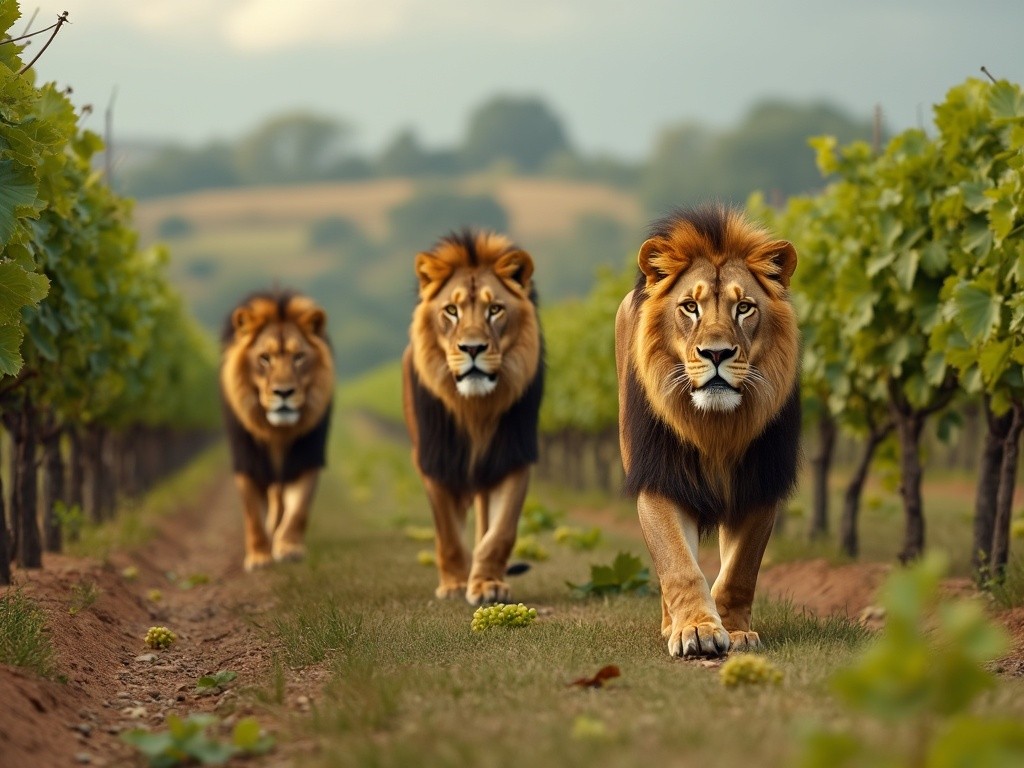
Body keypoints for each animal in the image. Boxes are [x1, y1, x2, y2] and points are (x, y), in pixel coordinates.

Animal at [218, 290, 333, 573]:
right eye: (264, 358)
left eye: (299, 356)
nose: (284, 392)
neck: (277, 433)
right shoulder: (248, 460)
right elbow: (252, 515)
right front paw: (260, 555)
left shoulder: (307, 456)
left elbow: (298, 509)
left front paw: (289, 547)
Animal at [399, 228, 544, 606]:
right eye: (451, 310)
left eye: (495, 310)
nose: (473, 348)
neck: (475, 410)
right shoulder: (435, 461)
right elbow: (448, 534)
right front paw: (453, 584)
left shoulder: (514, 457)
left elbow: (500, 533)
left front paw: (487, 584)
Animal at [610, 205, 802, 663]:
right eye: (690, 307)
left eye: (744, 307)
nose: (716, 353)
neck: (715, 427)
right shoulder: (659, 478)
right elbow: (679, 565)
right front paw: (696, 629)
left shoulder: (759, 484)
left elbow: (739, 572)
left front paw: (734, 631)